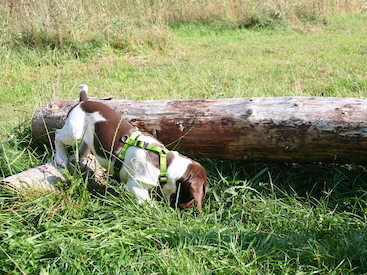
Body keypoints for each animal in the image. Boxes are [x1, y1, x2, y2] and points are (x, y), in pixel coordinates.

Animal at [55, 85, 210, 212]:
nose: (184, 209)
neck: (165, 164)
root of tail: (83, 101)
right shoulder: (135, 186)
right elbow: (150, 205)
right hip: (73, 132)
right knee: (57, 135)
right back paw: (61, 158)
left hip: (87, 136)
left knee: (83, 147)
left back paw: (75, 159)